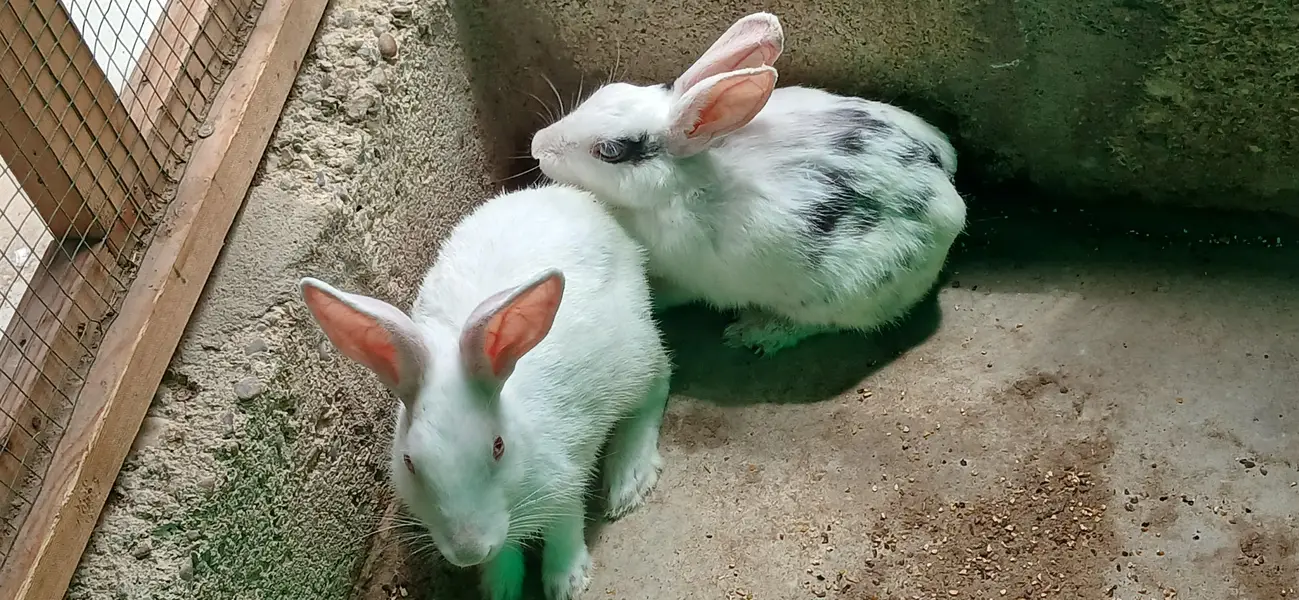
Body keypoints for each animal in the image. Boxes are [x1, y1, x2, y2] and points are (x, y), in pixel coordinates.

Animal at [298, 184, 672, 600]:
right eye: (409, 462)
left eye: (498, 447)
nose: (468, 551)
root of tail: (578, 198)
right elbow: (505, 553)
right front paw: (500, 587)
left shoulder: (566, 479)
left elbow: (565, 528)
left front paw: (568, 581)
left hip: (636, 359)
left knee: (657, 385)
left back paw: (629, 480)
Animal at [530, 12, 967, 355]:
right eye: (607, 90)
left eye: (611, 150)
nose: (537, 145)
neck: (684, 188)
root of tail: (950, 200)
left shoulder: (680, 277)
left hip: (840, 296)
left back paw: (754, 333)